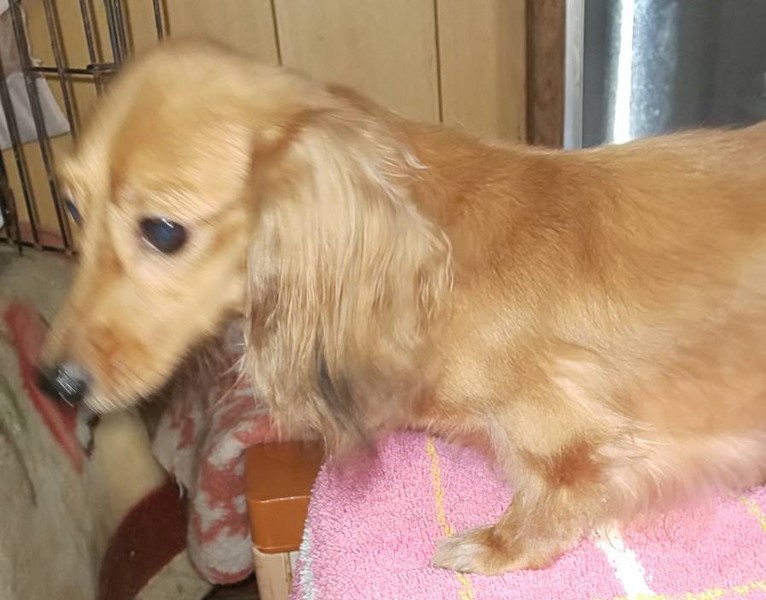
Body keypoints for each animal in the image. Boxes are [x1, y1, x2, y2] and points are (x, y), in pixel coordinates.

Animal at [38, 38, 766, 575]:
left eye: (163, 232)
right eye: (69, 206)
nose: (53, 384)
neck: (435, 262)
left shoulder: (578, 436)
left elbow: (555, 498)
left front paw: (495, 547)